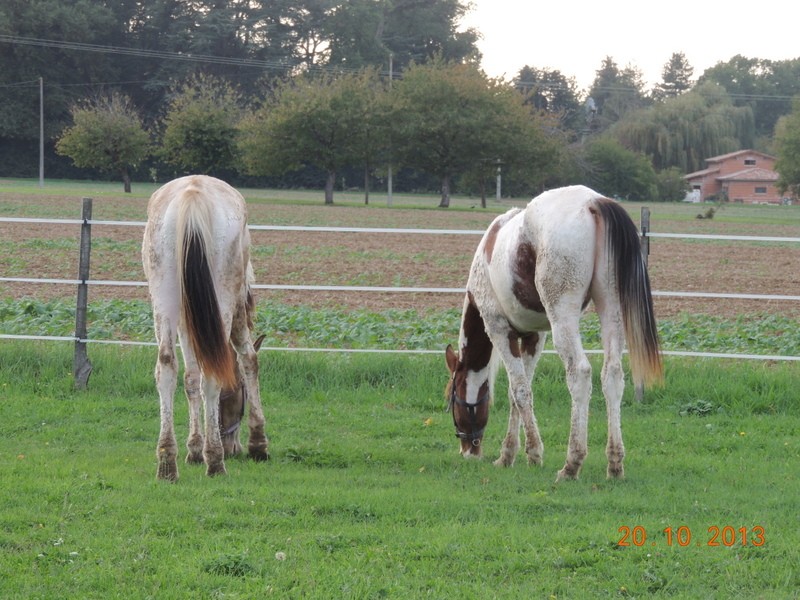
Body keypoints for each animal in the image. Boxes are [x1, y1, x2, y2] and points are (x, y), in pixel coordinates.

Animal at [142, 176, 270, 480]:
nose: (233, 447)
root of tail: (193, 194)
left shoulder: (188, 323)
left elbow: (190, 378)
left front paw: (194, 449)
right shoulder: (237, 308)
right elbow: (249, 360)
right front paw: (258, 443)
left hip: (164, 297)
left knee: (166, 366)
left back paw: (168, 462)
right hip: (223, 297)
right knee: (213, 373)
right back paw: (215, 461)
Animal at [444, 185, 664, 480]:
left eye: (452, 398)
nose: (468, 450)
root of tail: (593, 202)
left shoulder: (500, 330)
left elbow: (520, 390)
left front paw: (530, 453)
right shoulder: (534, 337)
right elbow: (518, 393)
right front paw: (511, 453)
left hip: (563, 319)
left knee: (580, 374)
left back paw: (572, 464)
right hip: (611, 310)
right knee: (612, 375)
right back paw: (615, 464)